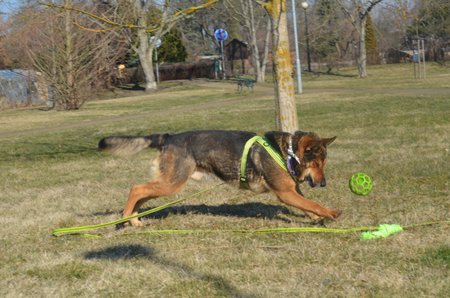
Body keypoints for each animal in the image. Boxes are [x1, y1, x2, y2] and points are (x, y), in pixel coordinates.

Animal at [97, 130, 338, 226]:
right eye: (317, 164)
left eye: (323, 165)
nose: (324, 183)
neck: (286, 152)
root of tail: (169, 137)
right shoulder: (285, 193)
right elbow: (313, 203)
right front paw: (331, 213)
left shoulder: (293, 190)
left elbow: (308, 205)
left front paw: (317, 219)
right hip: (172, 183)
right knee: (136, 189)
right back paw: (125, 219)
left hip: (166, 182)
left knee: (141, 194)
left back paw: (134, 220)